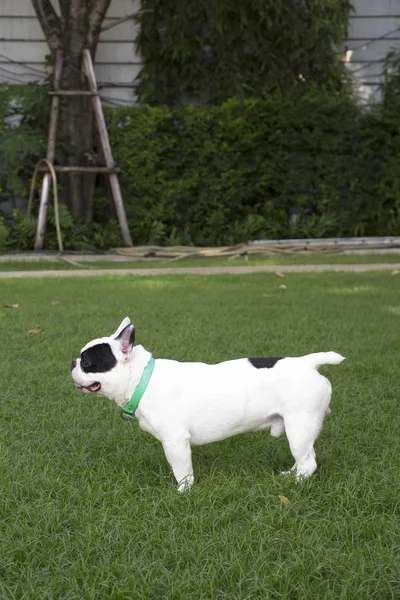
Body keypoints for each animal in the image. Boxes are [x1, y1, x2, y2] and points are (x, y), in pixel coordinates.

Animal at [71, 316, 344, 490]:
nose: (72, 363)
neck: (142, 378)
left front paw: (183, 492)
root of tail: (307, 362)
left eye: (87, 362)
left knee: (308, 461)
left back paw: (296, 484)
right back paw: (290, 476)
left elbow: (182, 471)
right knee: (304, 458)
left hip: (299, 426)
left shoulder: (176, 441)